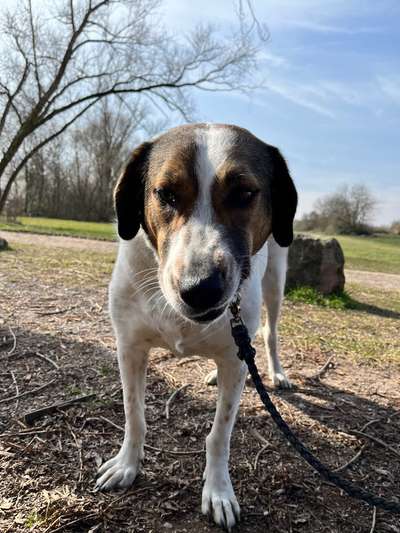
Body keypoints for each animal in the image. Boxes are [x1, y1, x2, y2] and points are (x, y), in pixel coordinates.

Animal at [96, 121, 296, 528]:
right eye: (166, 194)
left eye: (244, 193)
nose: (200, 289)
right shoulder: (129, 348)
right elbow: (134, 414)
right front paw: (127, 464)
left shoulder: (236, 360)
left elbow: (219, 435)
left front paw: (218, 491)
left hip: (276, 284)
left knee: (269, 334)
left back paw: (277, 372)